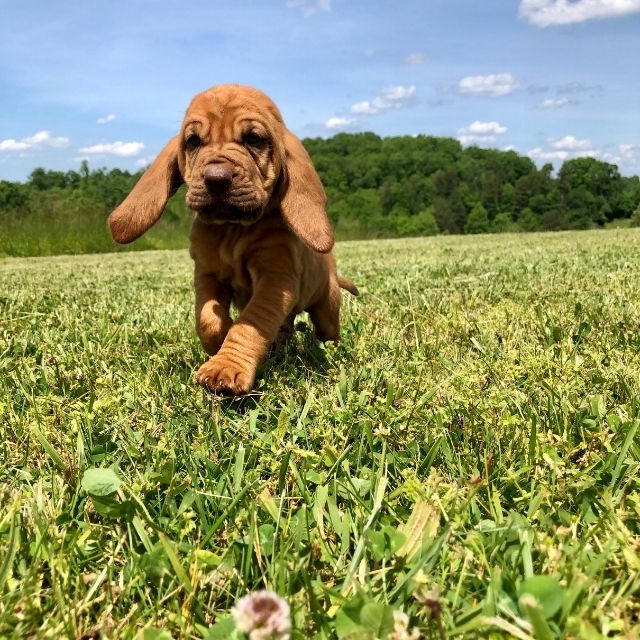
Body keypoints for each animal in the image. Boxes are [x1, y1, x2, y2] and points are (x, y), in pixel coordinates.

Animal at [110, 84, 360, 396]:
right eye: (193, 141)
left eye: (253, 138)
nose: (216, 179)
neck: (233, 229)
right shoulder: (206, 274)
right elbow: (207, 319)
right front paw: (218, 341)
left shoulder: (275, 280)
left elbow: (250, 323)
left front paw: (225, 366)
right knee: (285, 327)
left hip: (326, 305)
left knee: (327, 329)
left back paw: (329, 348)